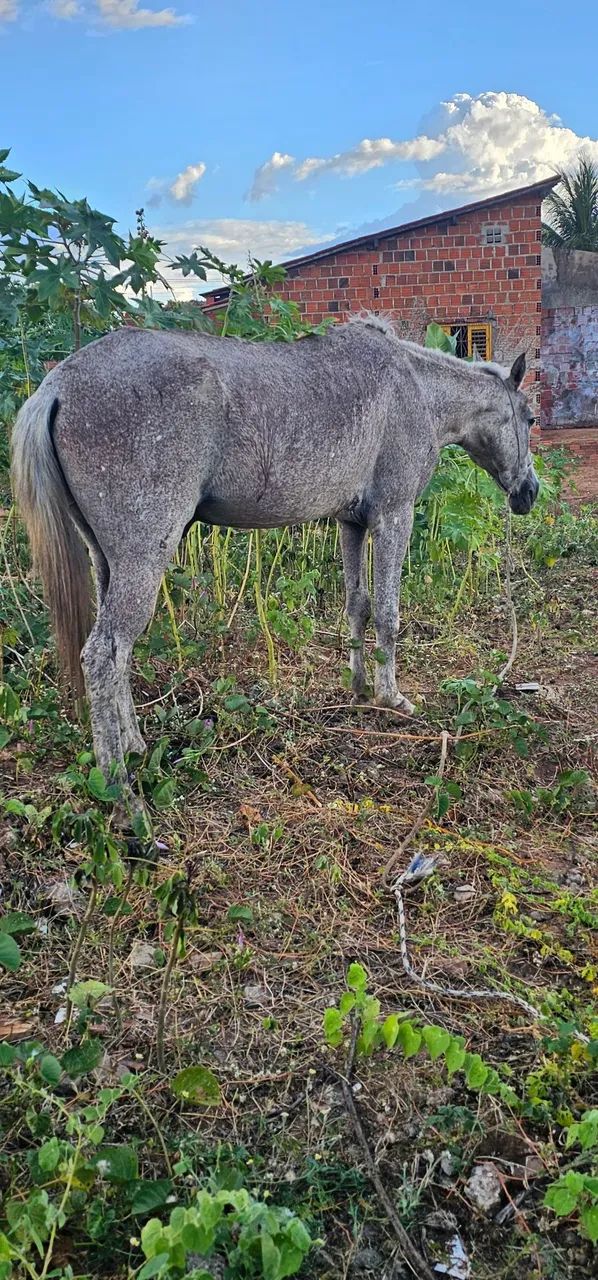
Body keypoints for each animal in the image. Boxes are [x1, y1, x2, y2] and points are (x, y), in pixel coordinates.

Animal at [11, 315, 538, 795]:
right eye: (529, 418)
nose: (529, 493)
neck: (414, 389)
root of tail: (55, 386)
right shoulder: (393, 515)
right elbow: (388, 612)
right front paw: (392, 699)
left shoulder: (352, 523)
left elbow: (358, 606)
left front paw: (359, 690)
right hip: (142, 560)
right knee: (104, 654)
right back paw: (122, 794)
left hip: (107, 563)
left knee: (115, 657)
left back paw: (137, 747)